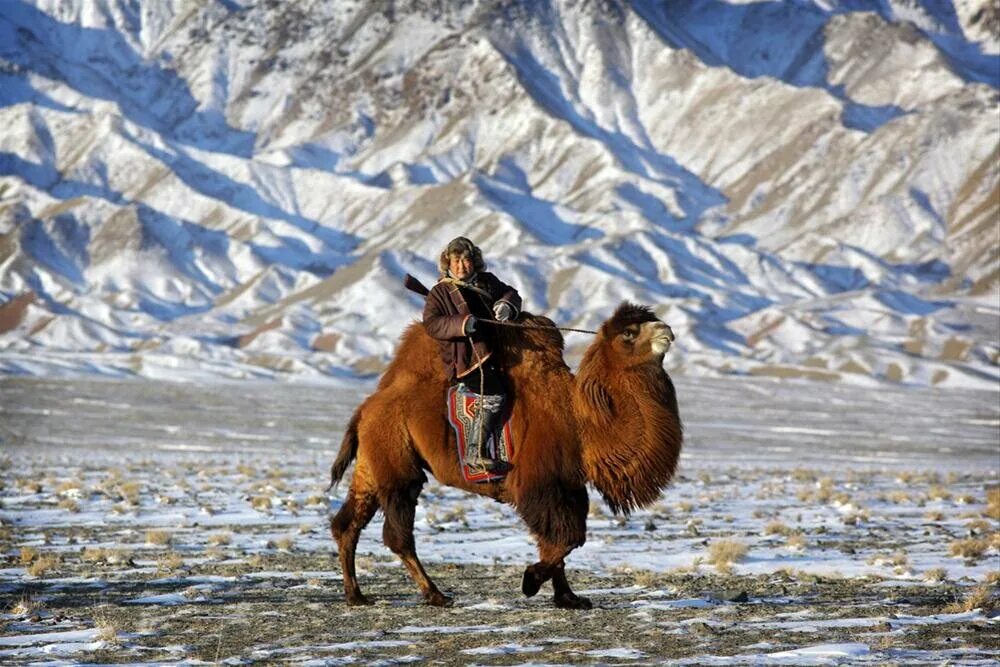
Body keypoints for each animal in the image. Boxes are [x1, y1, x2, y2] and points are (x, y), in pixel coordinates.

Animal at [328, 302, 680, 612]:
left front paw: (569, 598)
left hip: (372, 462)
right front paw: (531, 581)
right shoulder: (541, 485)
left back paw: (356, 595)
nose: (667, 330)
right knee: (398, 534)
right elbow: (566, 540)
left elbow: (559, 542)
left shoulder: (568, 487)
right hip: (397, 463)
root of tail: (366, 407)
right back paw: (435, 594)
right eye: (629, 333)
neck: (580, 421)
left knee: (346, 523)